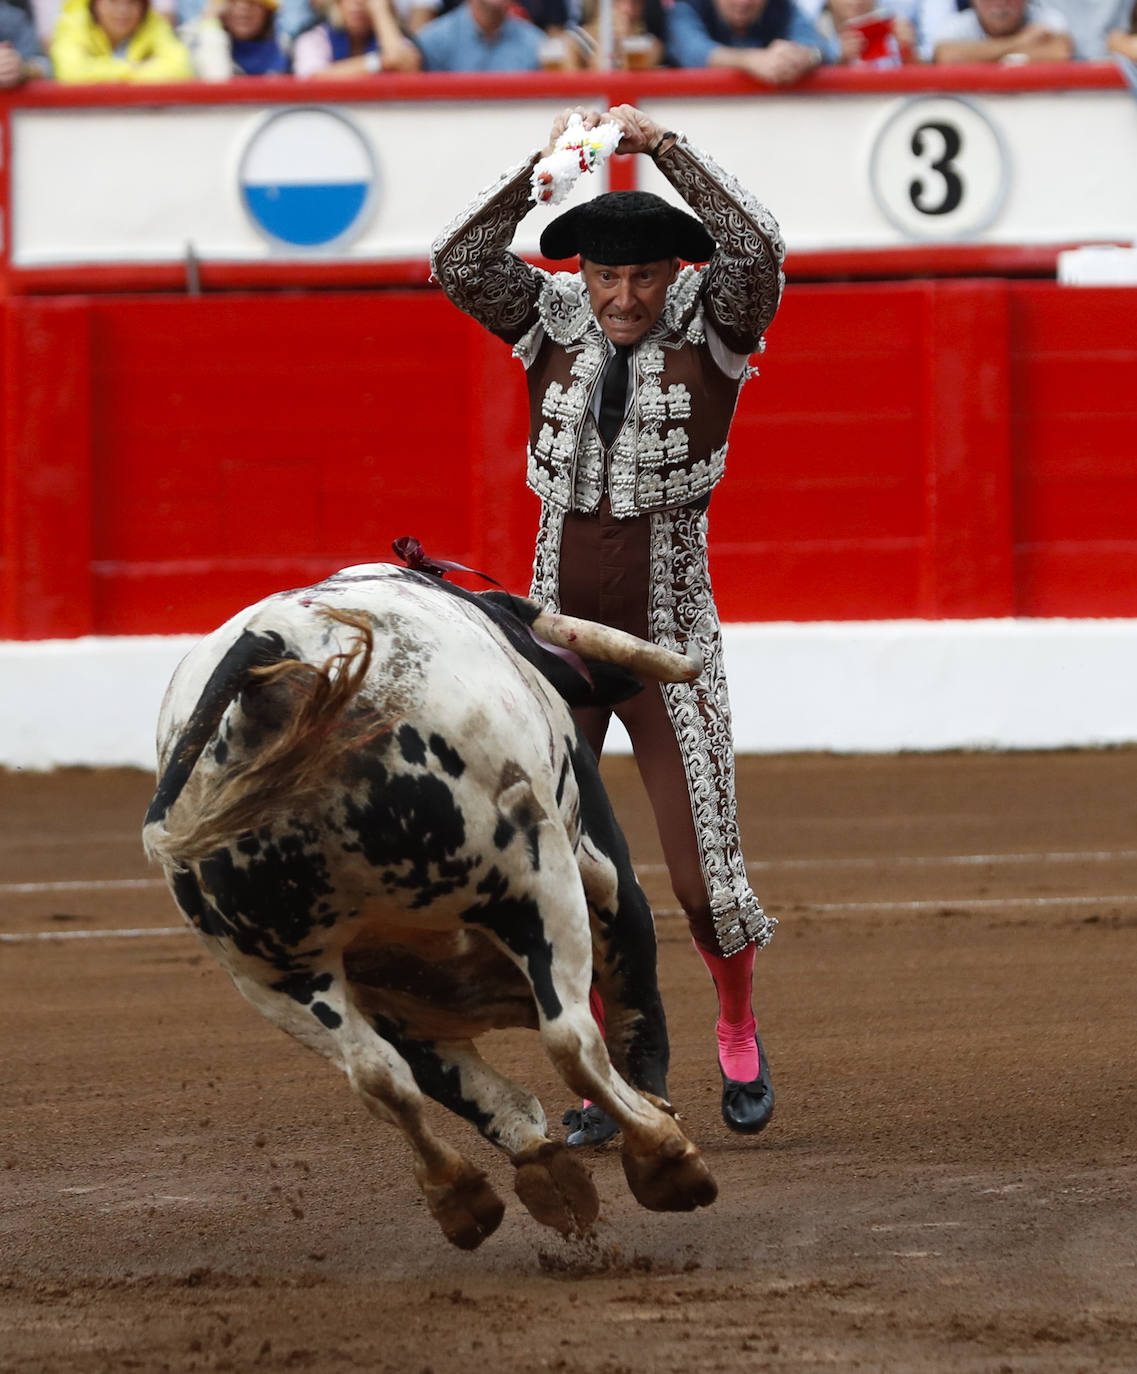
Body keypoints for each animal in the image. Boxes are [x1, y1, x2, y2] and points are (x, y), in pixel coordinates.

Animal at [140, 563, 708, 1253]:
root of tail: (270, 653)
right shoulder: (604, 874)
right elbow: (631, 1009)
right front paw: (655, 1128)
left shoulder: (389, 998)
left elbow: (458, 1086)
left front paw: (544, 1170)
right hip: (536, 878)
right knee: (571, 1039)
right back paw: (664, 1157)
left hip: (272, 975)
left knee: (377, 1076)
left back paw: (459, 1195)